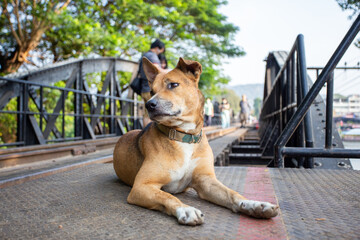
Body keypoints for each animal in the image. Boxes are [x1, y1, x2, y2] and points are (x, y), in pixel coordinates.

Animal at [112, 56, 278, 225]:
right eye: (151, 91)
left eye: (173, 85)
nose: (149, 104)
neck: (184, 136)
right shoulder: (141, 186)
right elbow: (167, 196)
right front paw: (186, 209)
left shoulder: (206, 181)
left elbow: (232, 193)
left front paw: (254, 204)